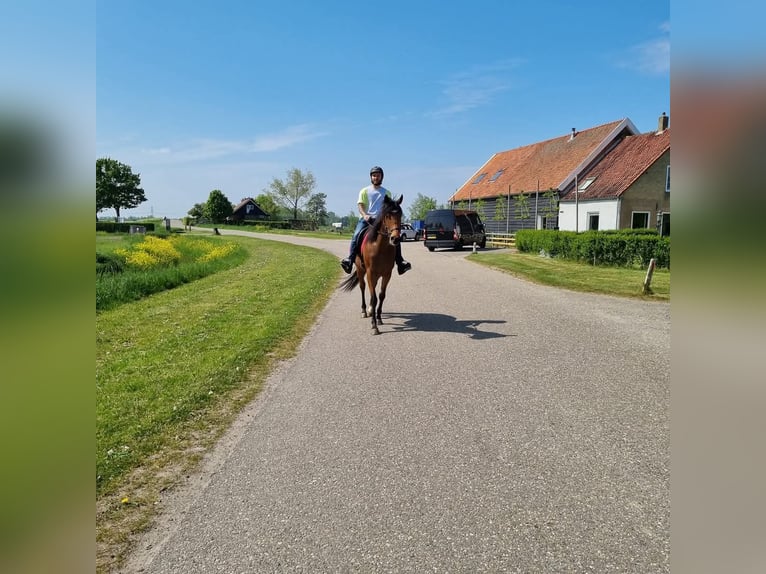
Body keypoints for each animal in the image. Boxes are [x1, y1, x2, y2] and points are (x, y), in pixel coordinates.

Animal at [340, 196, 404, 336]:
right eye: (387, 215)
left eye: (400, 214)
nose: (395, 239)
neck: (380, 247)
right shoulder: (370, 273)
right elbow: (374, 297)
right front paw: (374, 326)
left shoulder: (387, 274)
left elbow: (381, 295)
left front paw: (378, 318)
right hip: (361, 270)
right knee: (363, 288)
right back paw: (364, 310)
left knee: (372, 290)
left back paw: (370, 310)